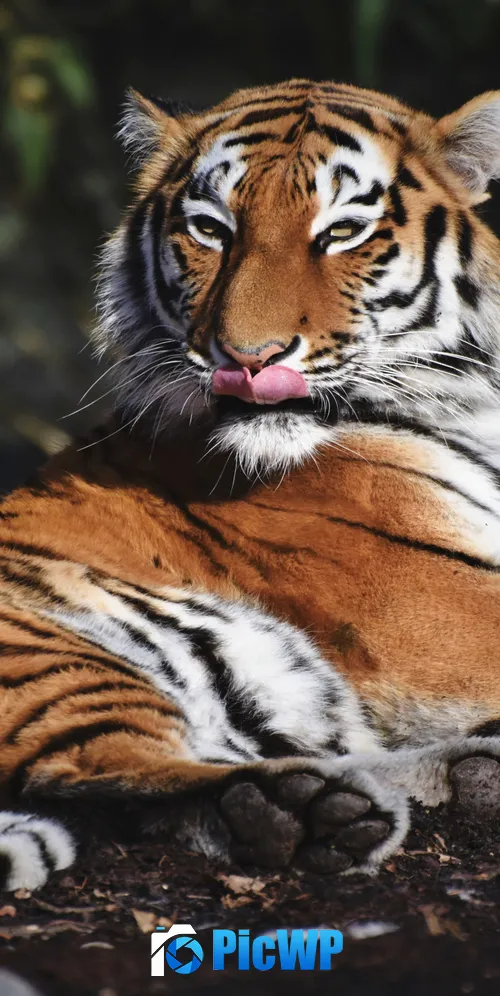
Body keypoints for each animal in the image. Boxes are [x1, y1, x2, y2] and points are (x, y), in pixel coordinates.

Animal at [1, 78, 500, 893]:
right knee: (98, 768)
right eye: (211, 230)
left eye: (342, 232)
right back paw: (307, 812)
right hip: (53, 651)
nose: (248, 357)